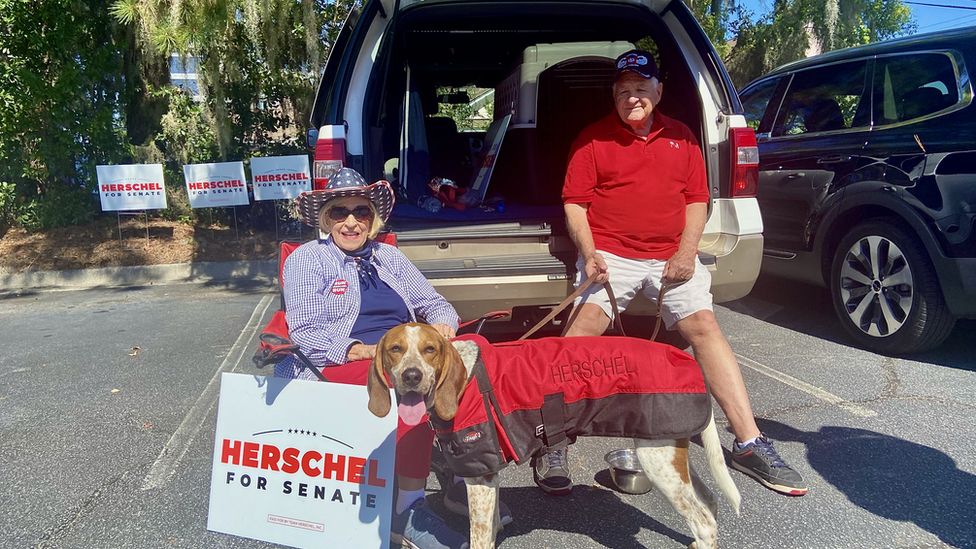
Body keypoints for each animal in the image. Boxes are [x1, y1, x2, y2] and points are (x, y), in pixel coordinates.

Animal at [368, 322, 740, 548]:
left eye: (430, 349)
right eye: (395, 349)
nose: (412, 376)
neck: (464, 380)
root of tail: (691, 365)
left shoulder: (480, 477)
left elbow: (479, 535)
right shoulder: (488, 476)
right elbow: (491, 525)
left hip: (657, 461)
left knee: (704, 520)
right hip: (671, 456)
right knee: (709, 504)